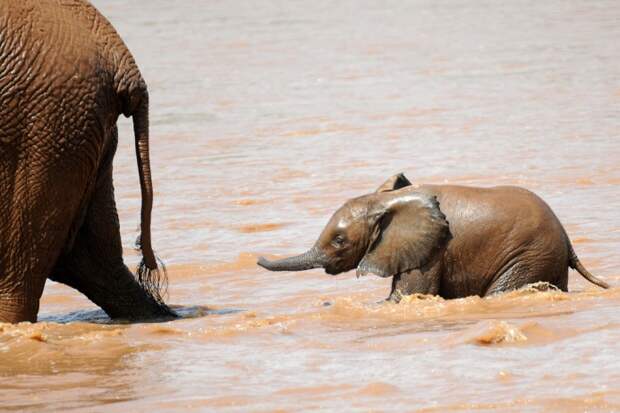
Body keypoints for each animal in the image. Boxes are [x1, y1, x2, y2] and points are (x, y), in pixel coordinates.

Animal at [256, 171, 612, 300]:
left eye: (339, 240)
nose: (256, 256)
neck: (387, 202)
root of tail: (567, 239)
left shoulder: (429, 253)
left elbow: (407, 298)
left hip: (528, 255)